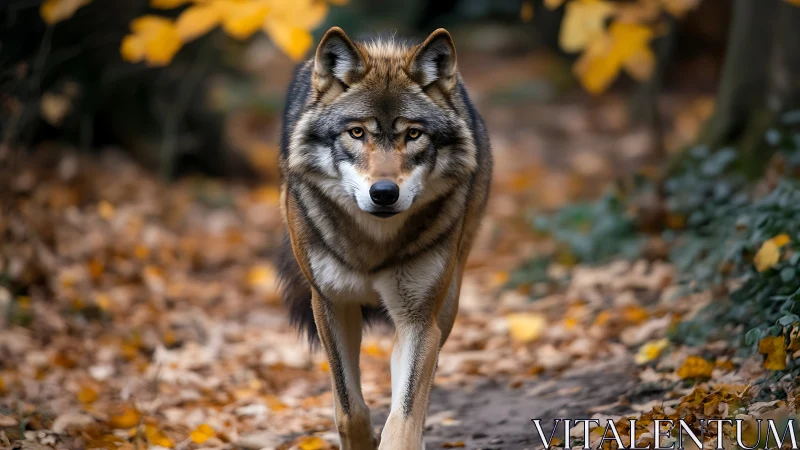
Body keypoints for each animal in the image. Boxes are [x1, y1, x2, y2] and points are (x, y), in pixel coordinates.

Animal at [277, 27, 492, 449]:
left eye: (413, 134)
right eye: (357, 132)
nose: (384, 193)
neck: (373, 246)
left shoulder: (418, 320)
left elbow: (403, 419)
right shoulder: (330, 305)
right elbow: (349, 409)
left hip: (445, 305)